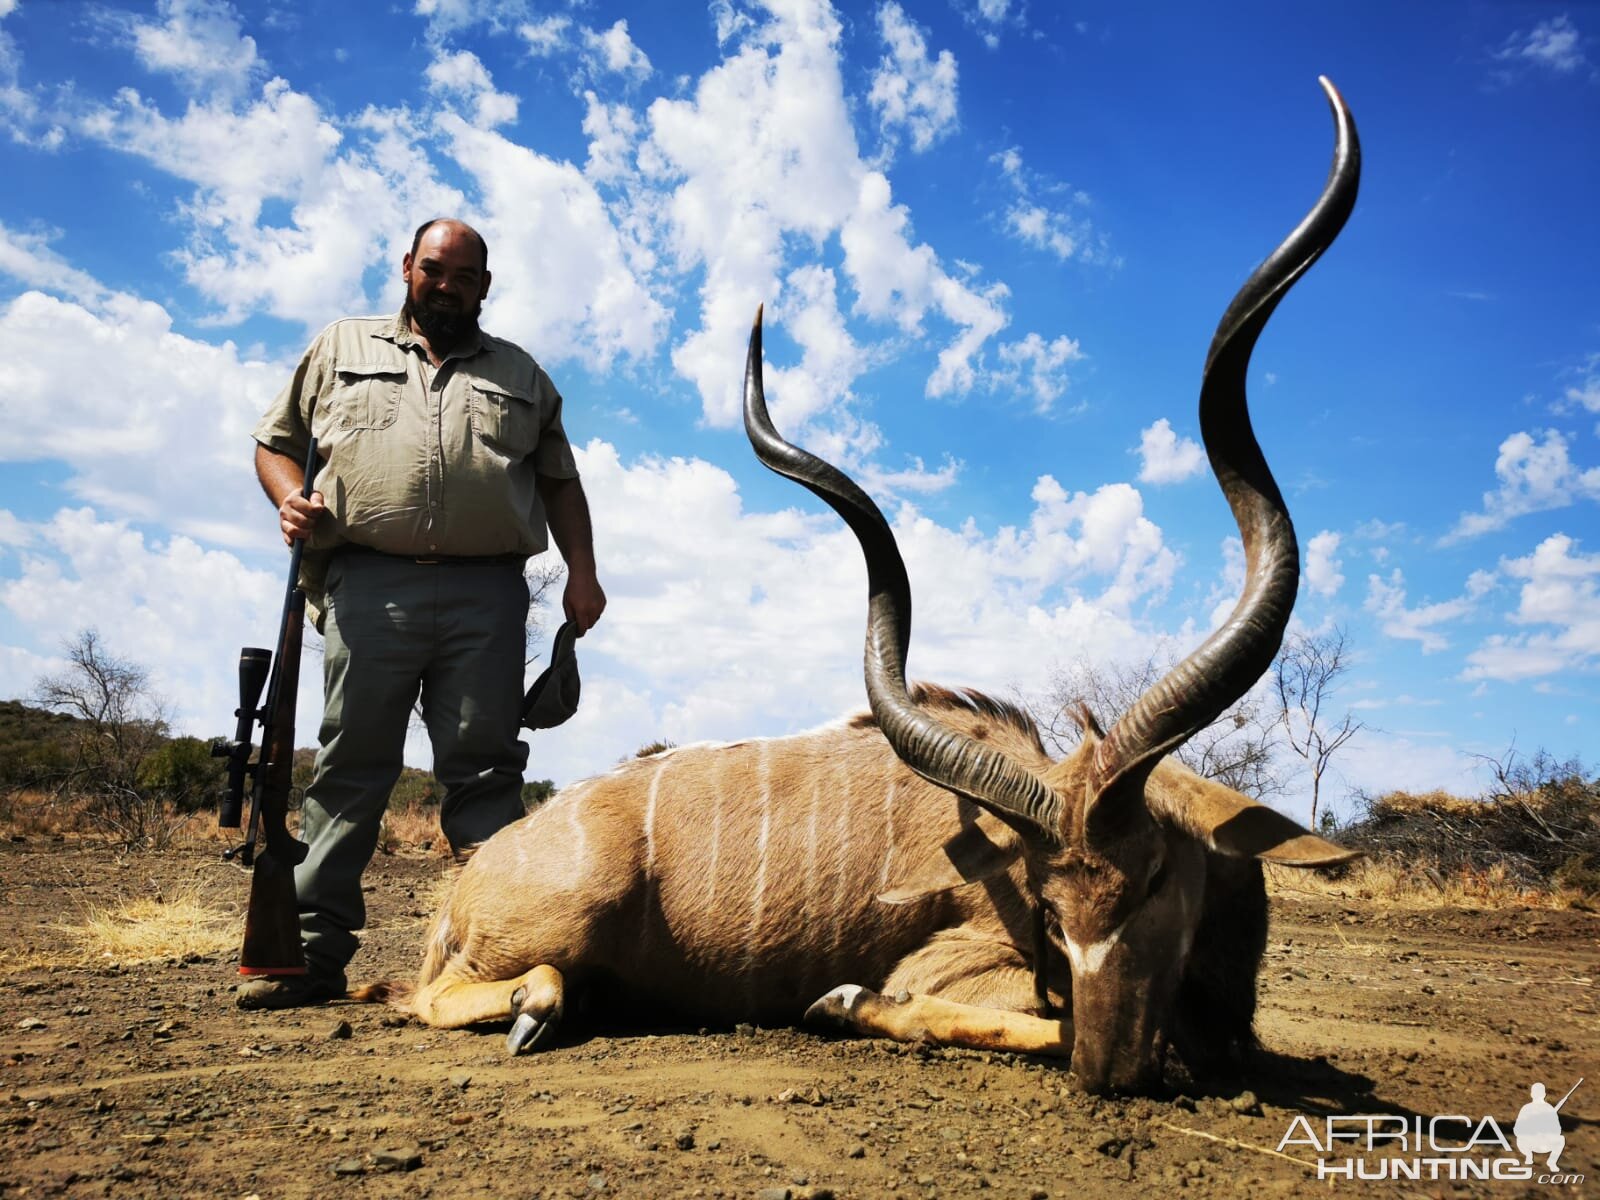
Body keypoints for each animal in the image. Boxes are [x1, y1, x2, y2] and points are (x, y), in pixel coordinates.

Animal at [363, 77, 1363, 1100]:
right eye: (1050, 900)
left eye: (1158, 875)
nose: (1112, 1067)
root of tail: (472, 879)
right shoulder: (968, 963)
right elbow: (967, 1010)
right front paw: (845, 1001)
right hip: (549, 926)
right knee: (439, 991)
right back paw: (540, 1003)